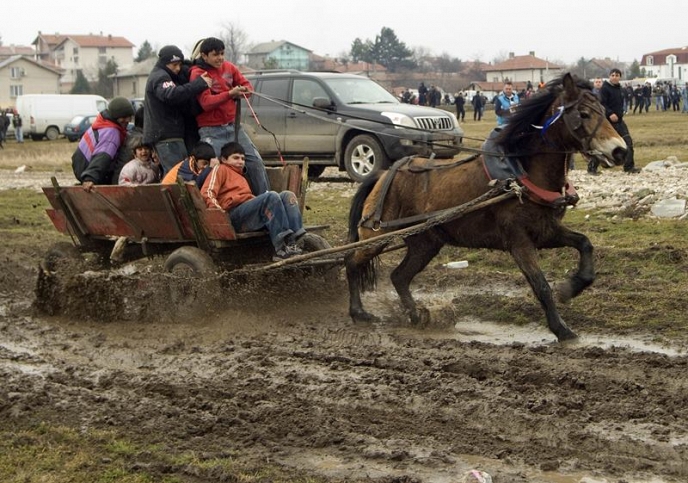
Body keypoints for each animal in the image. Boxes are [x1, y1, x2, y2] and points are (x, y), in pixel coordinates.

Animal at [346, 73, 628, 342]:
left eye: (603, 111)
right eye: (583, 114)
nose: (620, 151)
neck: (520, 174)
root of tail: (383, 173)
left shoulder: (545, 231)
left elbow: (584, 244)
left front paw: (572, 287)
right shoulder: (519, 241)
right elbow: (541, 285)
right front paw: (561, 329)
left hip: (425, 243)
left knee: (400, 277)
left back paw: (415, 316)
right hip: (376, 236)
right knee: (352, 262)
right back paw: (358, 312)